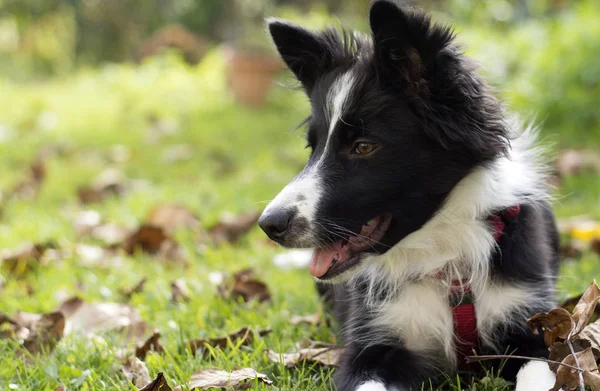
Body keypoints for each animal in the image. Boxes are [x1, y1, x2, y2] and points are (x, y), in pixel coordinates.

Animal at [258, 1, 564, 390]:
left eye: (363, 146)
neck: (442, 255)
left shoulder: (532, 327)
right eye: (312, 148)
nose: (269, 225)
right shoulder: (372, 344)